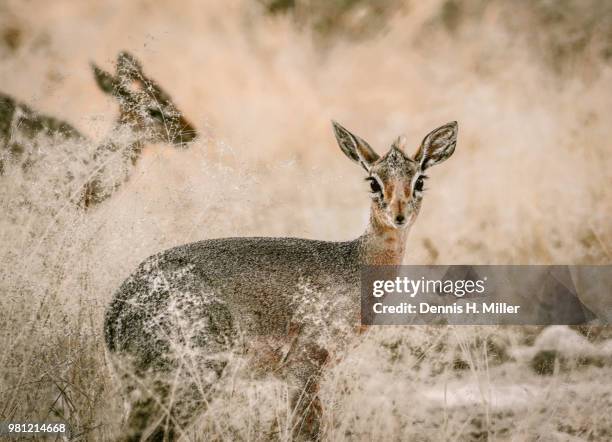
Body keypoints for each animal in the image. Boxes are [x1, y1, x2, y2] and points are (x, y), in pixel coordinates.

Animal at [105, 120, 456, 438]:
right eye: (373, 182)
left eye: (420, 180)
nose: (399, 216)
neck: (353, 263)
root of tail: (116, 311)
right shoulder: (304, 368)